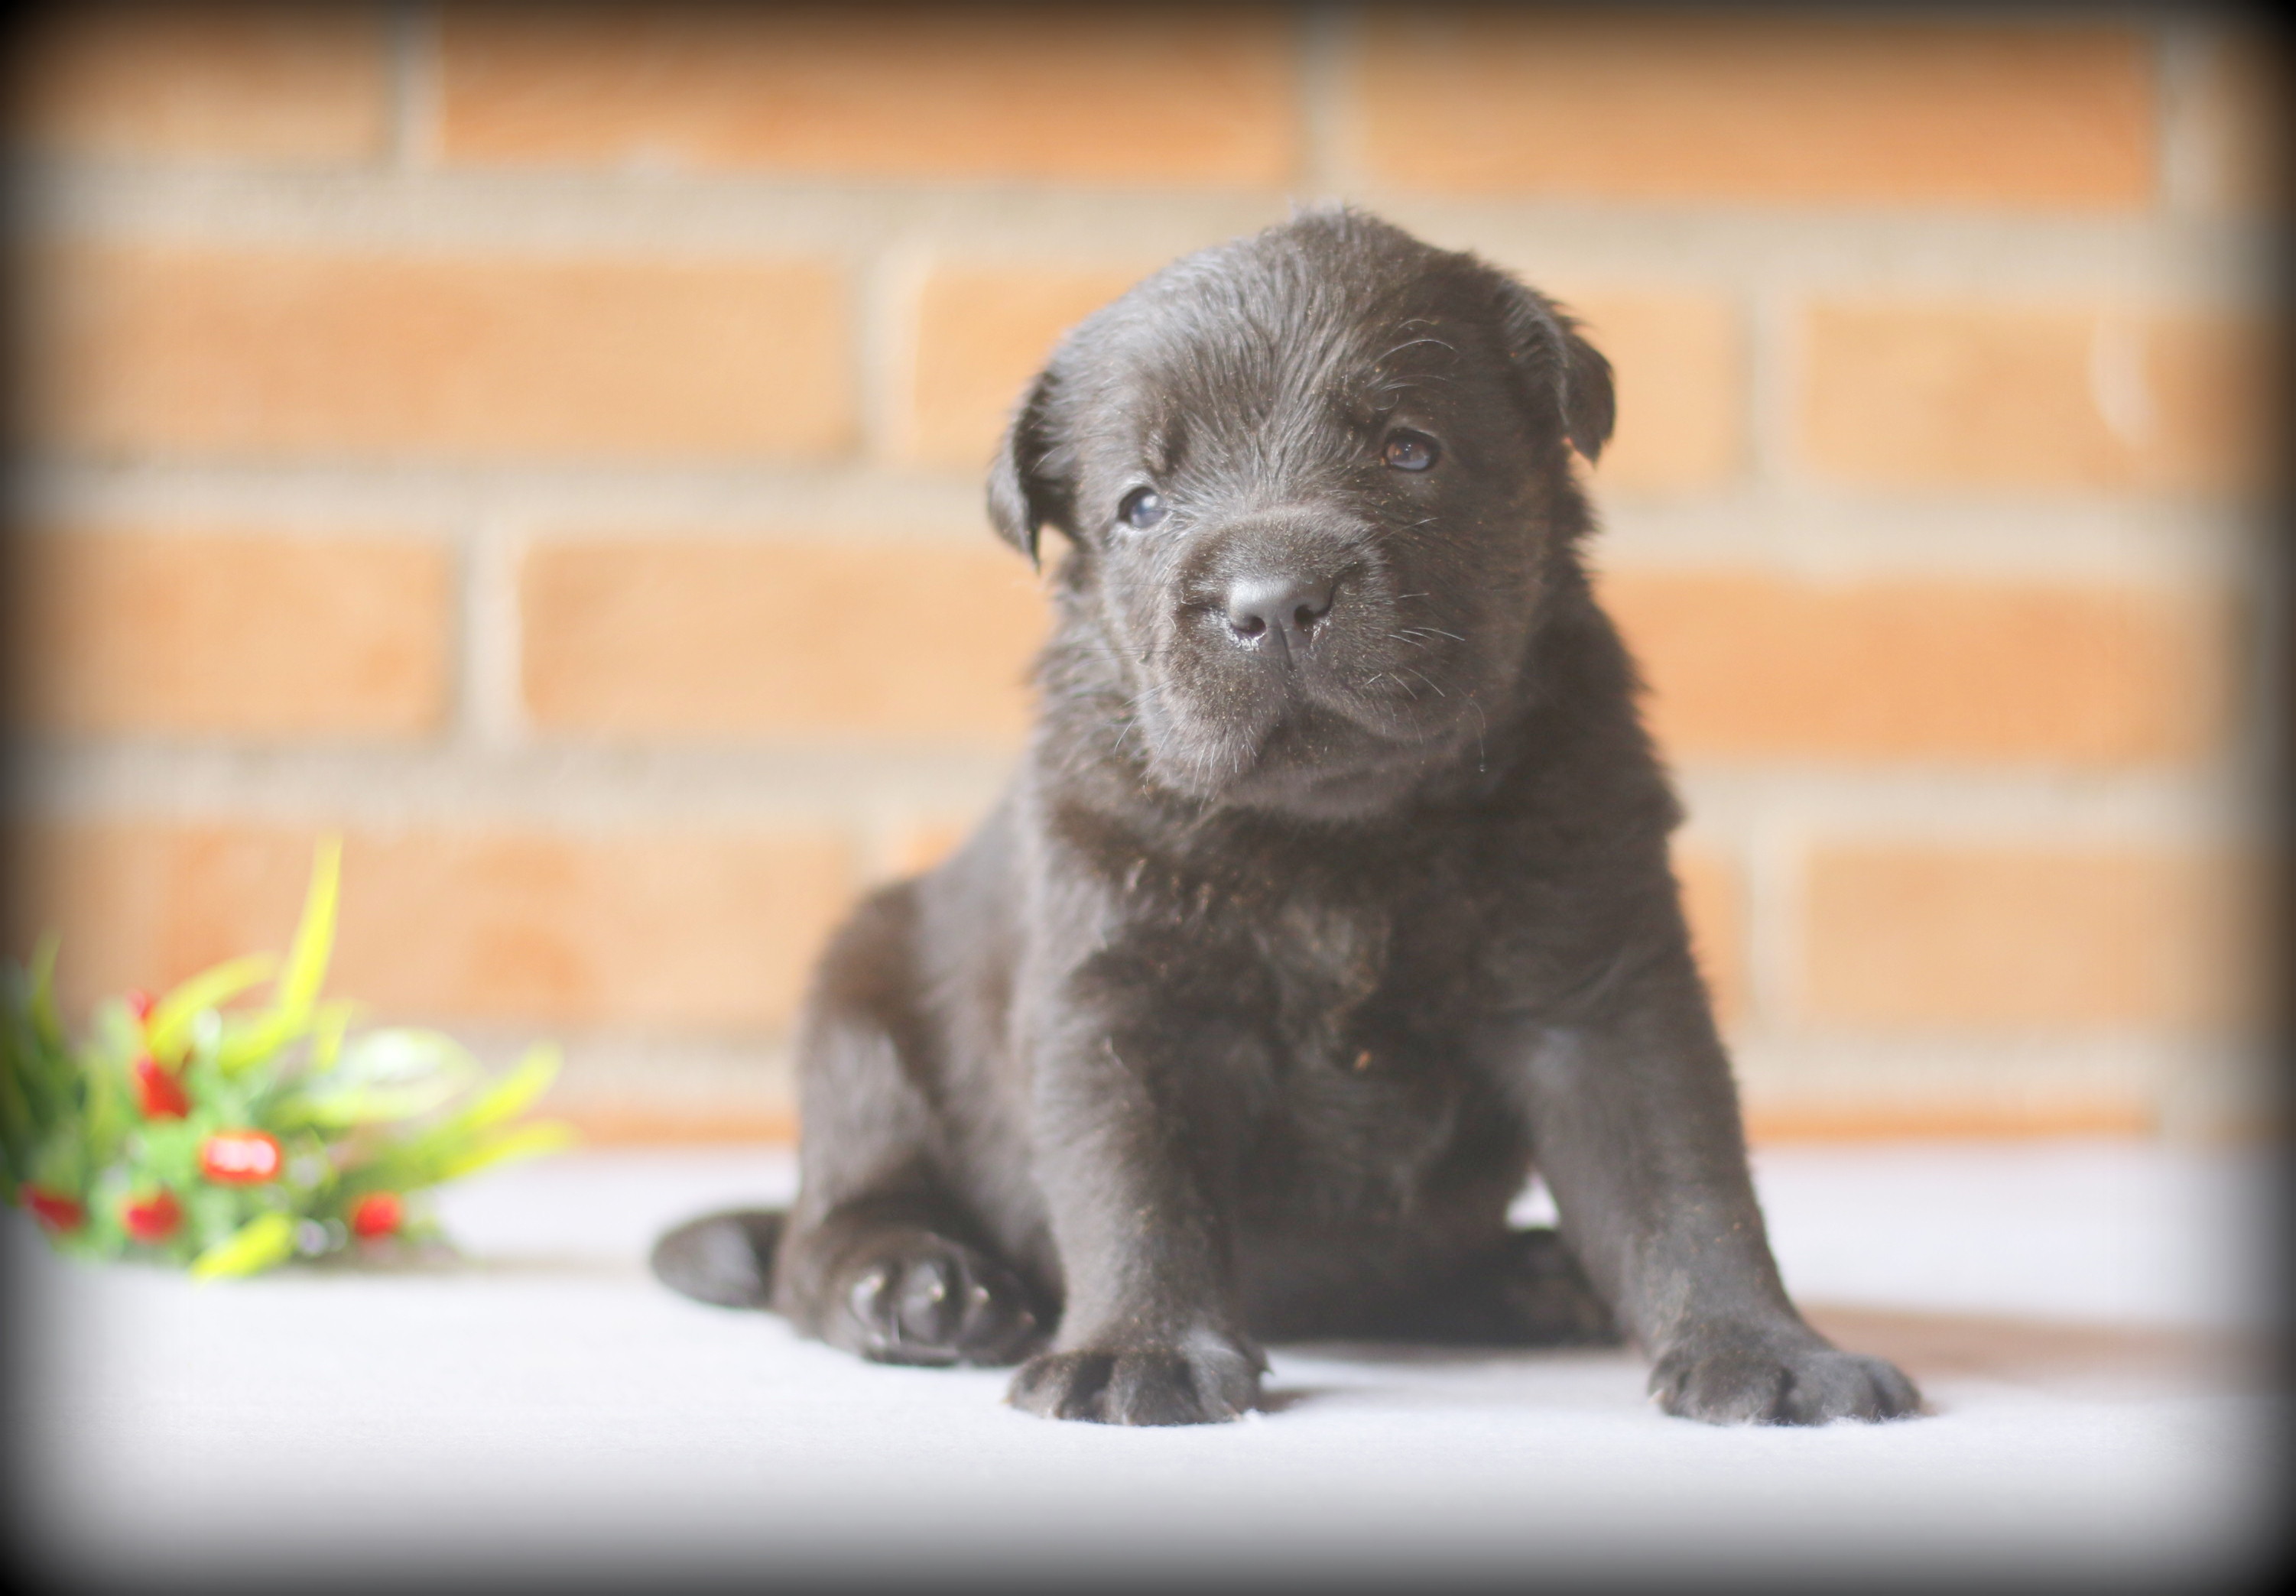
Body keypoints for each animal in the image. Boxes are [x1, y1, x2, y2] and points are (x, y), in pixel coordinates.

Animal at [661, 216, 1919, 1432]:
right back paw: (920, 1286)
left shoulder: (1604, 994)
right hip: (858, 1015)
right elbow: (1136, 1192)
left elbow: (1685, 1184)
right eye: (1140, 506)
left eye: (1410, 449)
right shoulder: (1121, 1005)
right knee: (830, 1225)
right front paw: (1136, 1350)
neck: (1342, 836)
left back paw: (1527, 1279)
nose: (1268, 600)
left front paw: (1765, 1351)